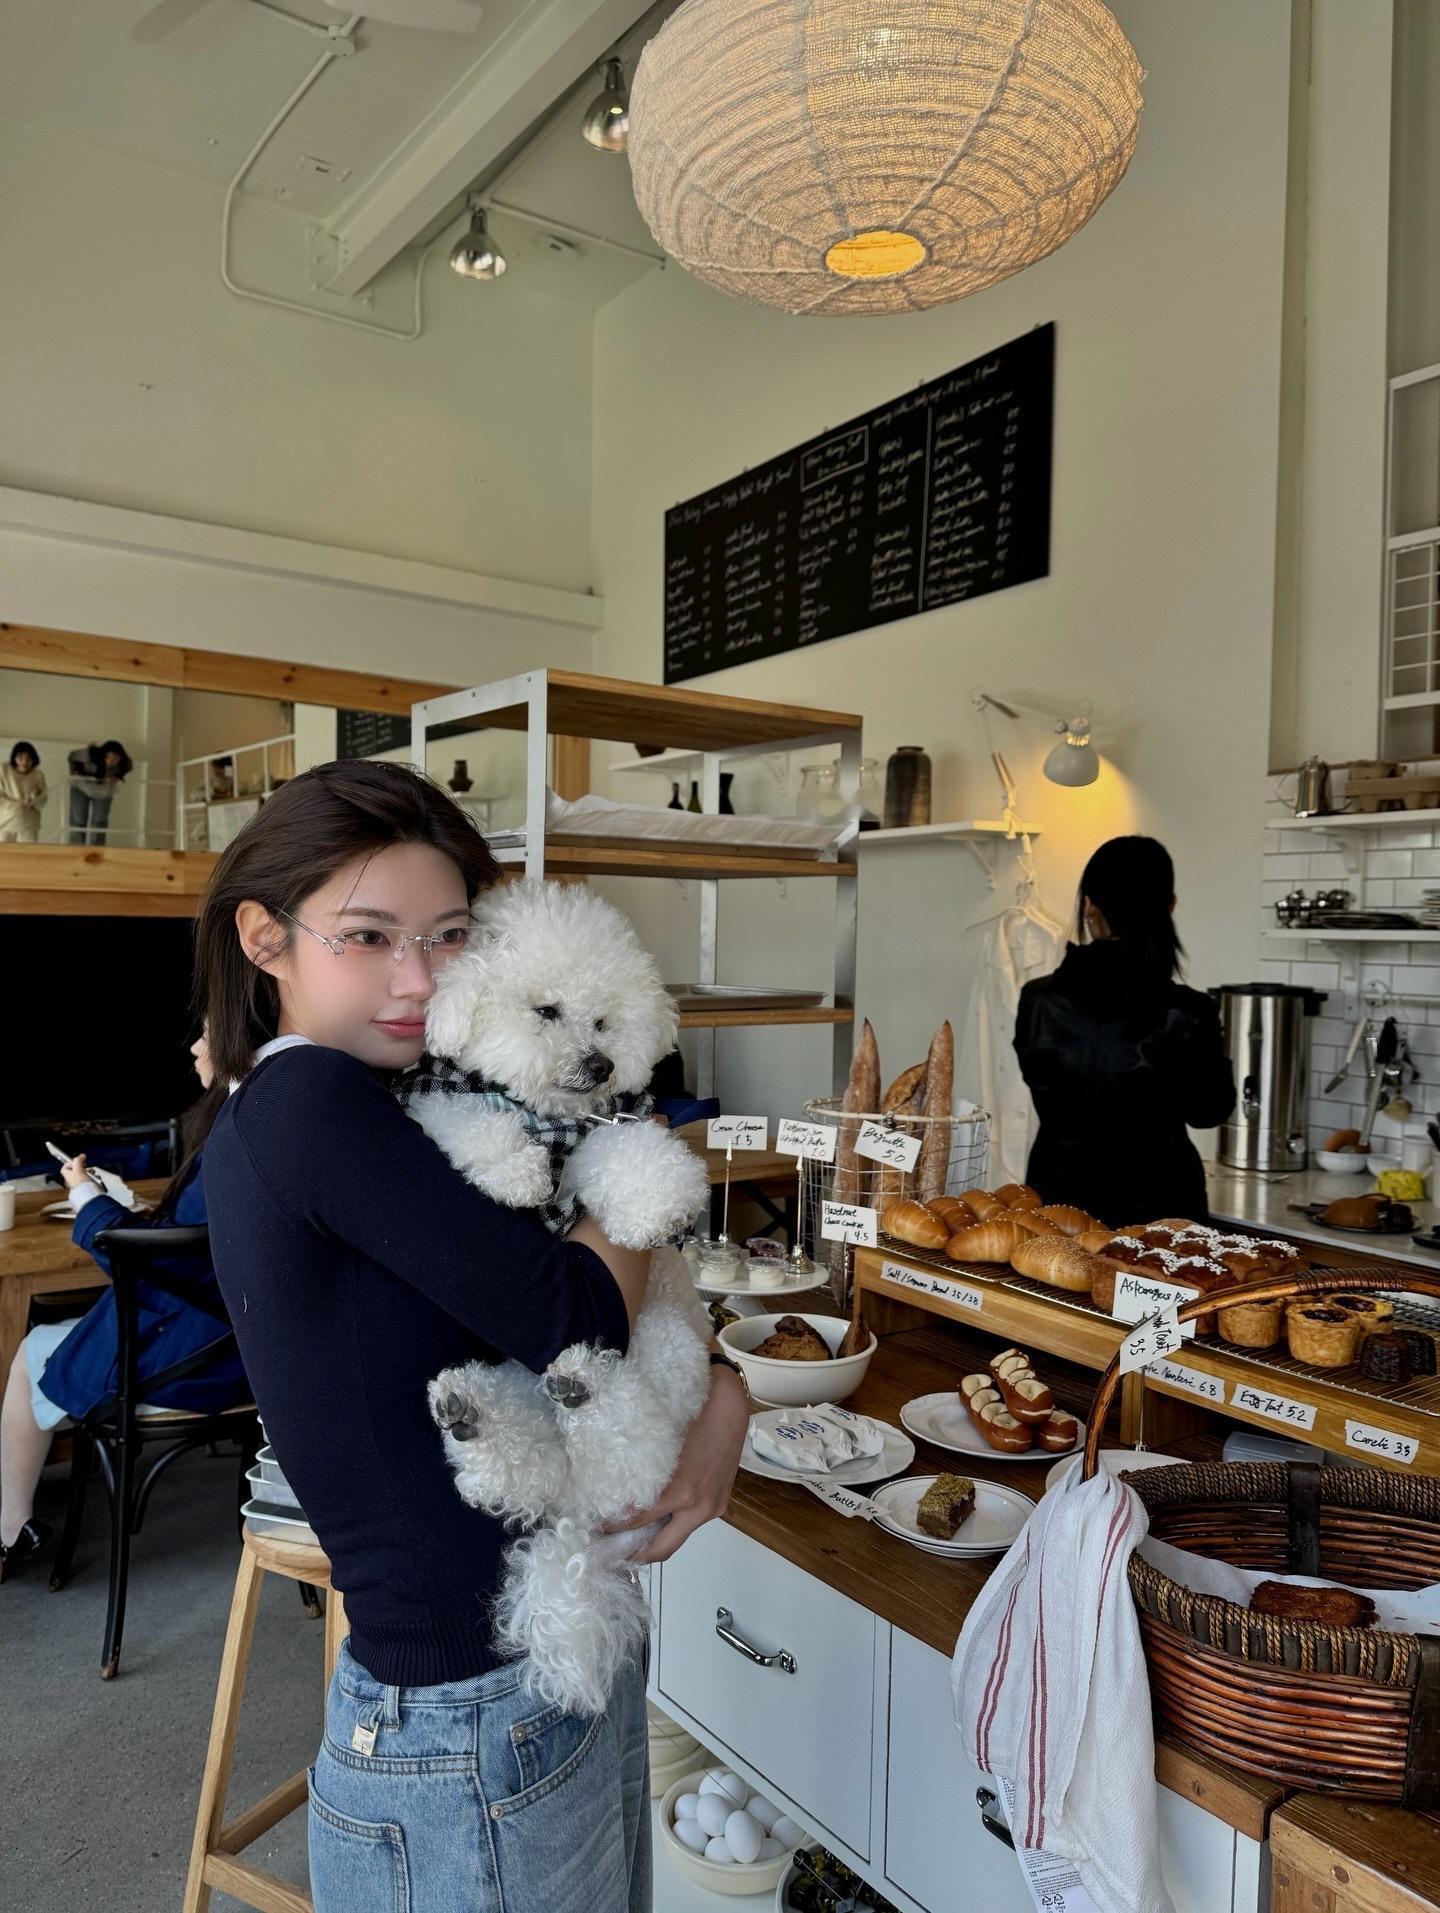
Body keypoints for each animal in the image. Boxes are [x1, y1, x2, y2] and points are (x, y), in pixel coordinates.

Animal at [398, 879, 711, 1713]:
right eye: (545, 1010)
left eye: (604, 1018)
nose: (599, 1063)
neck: (550, 1120)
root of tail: (583, 1531)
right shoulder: (442, 1105)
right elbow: (471, 1120)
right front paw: (512, 1174)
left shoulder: (608, 1125)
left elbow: (634, 1150)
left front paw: (653, 1207)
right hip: (527, 1401)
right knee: (523, 1469)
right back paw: (475, 1416)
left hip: (667, 1346)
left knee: (633, 1452)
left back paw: (583, 1386)